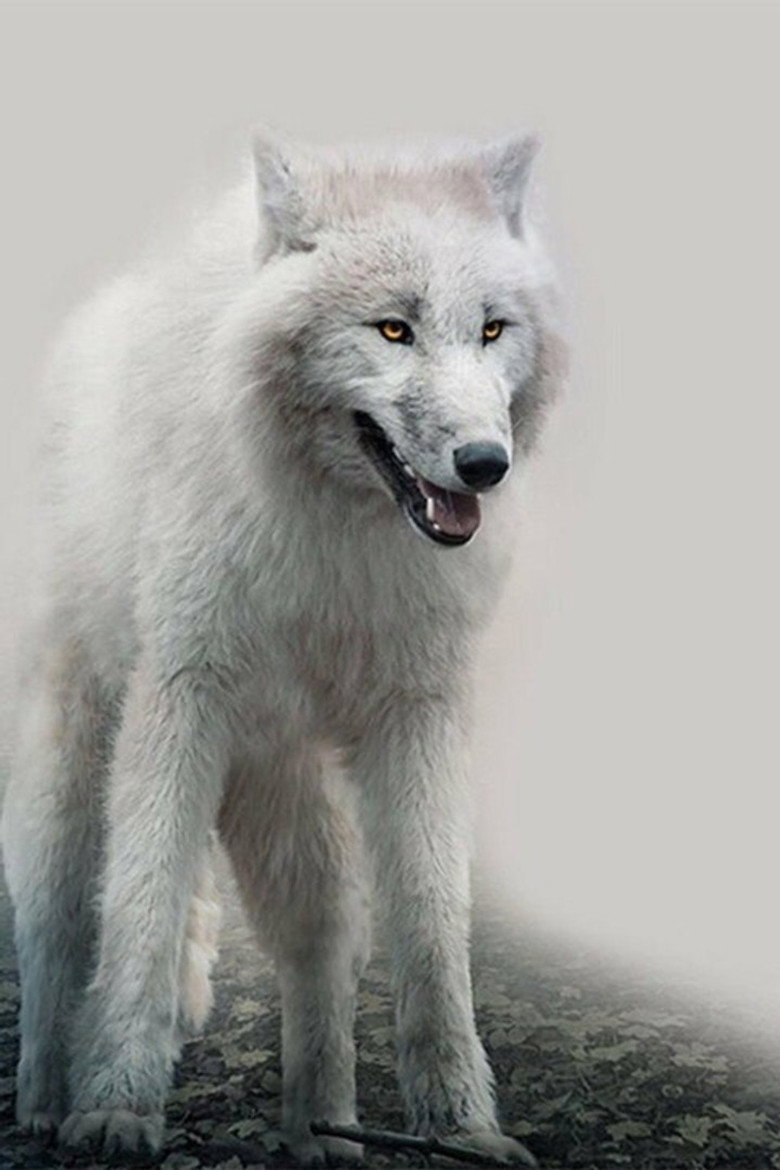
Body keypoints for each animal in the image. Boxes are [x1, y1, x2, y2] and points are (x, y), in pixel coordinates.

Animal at [1, 130, 564, 1165]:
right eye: (393, 330)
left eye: (493, 330)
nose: (484, 465)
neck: (336, 536)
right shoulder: (179, 700)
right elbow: (141, 908)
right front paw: (116, 1109)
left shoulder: (419, 717)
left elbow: (434, 938)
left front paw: (463, 1129)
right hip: (76, 766)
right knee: (57, 927)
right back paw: (48, 1097)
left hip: (289, 796)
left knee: (321, 940)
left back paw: (325, 1125)